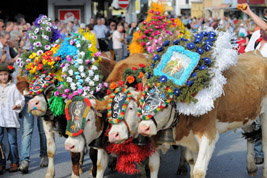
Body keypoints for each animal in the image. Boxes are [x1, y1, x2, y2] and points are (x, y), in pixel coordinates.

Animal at [137, 50, 267, 177]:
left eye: (165, 104)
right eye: (141, 100)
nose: (143, 128)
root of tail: (256, 52)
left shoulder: (208, 134)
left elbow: (198, 170)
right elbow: (156, 166)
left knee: (265, 142)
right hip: (244, 113)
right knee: (250, 131)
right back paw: (251, 167)